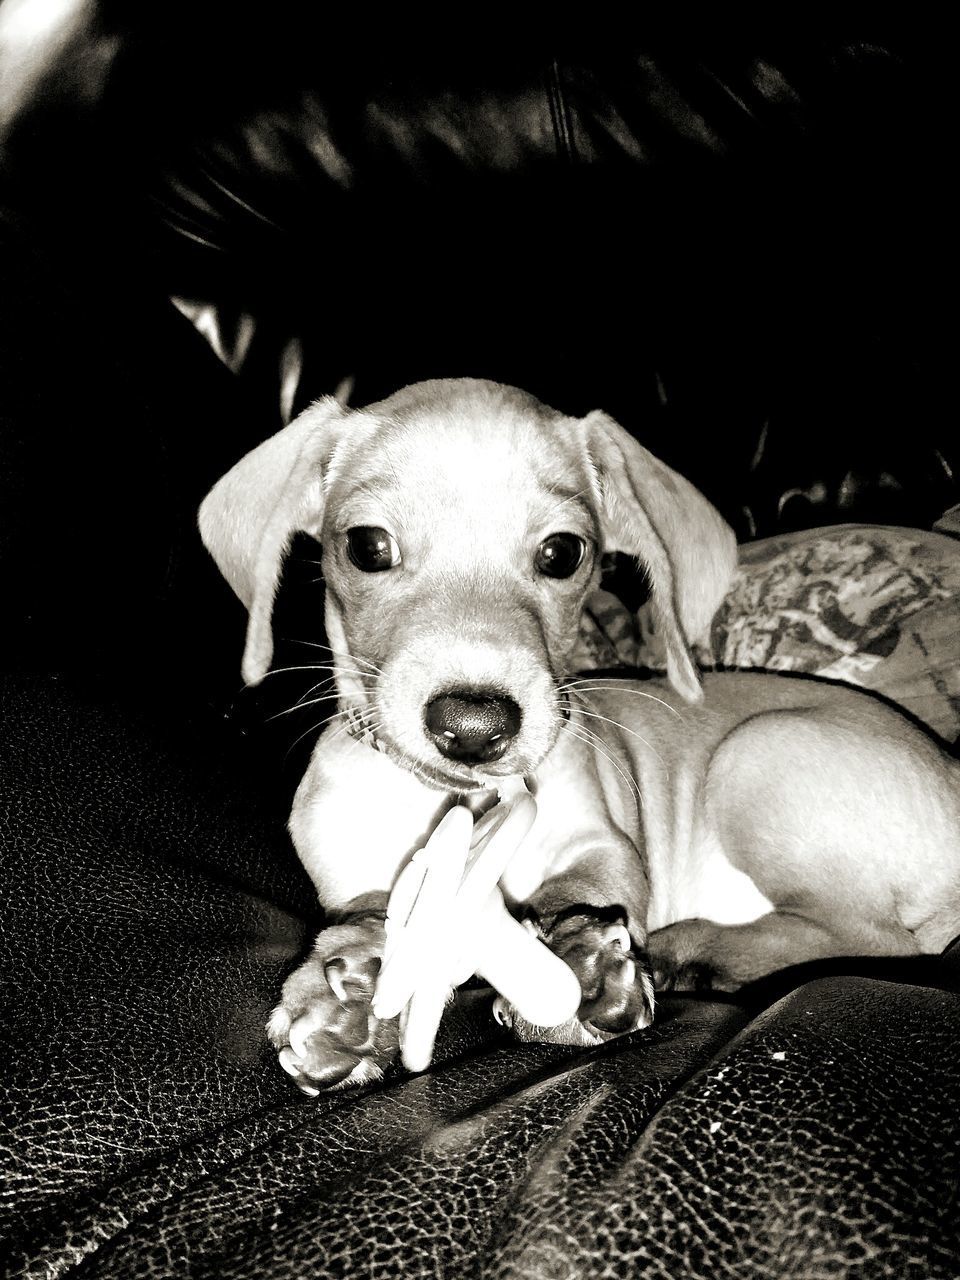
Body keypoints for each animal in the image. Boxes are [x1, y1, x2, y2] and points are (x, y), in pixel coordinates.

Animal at [199, 373, 957, 1085]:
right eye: (367, 546)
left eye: (563, 553)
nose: (473, 727)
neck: (456, 806)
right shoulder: (347, 874)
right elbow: (367, 908)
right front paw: (346, 989)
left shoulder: (602, 845)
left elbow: (585, 890)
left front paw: (576, 962)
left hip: (758, 753)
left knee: (884, 940)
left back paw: (696, 950)